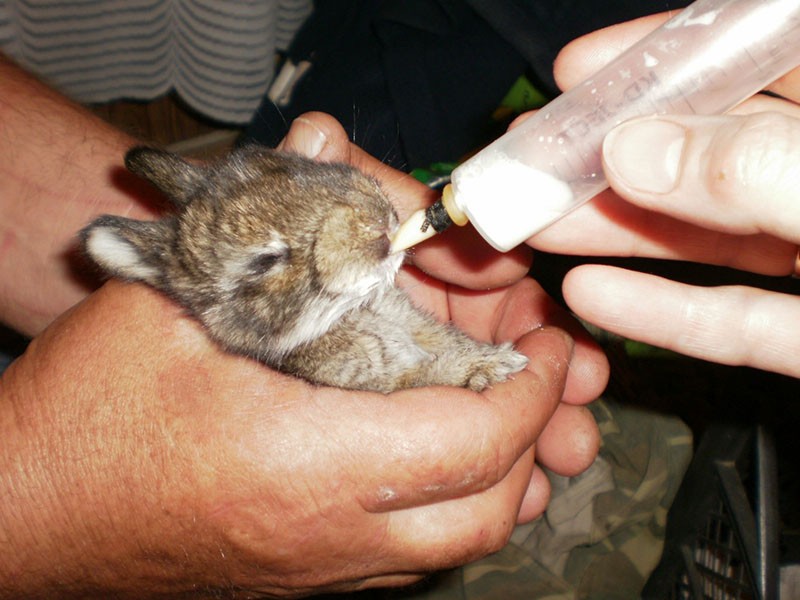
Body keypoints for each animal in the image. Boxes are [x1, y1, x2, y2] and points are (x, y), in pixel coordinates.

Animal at [81, 145, 528, 394]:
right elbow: (423, 376)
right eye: (264, 261)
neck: (347, 315)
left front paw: (490, 356)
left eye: (292, 163)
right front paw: (493, 367)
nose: (377, 220)